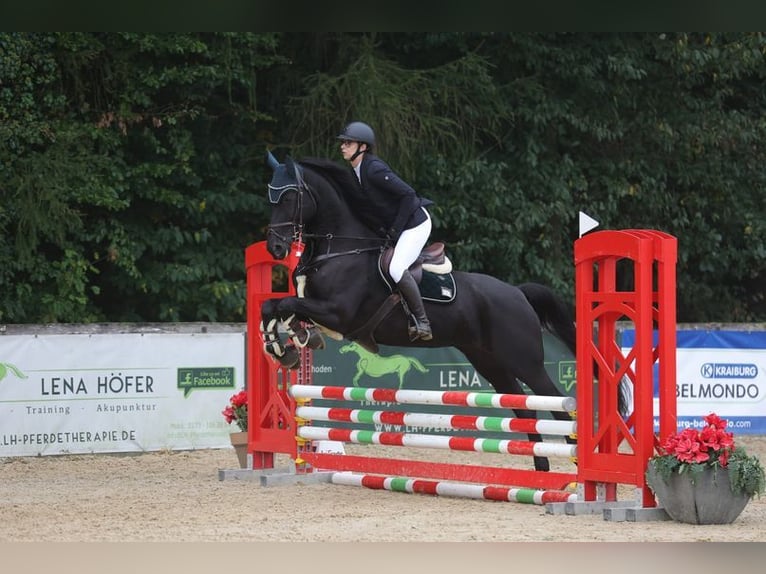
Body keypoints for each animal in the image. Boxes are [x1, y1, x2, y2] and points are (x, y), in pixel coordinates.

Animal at [260, 153, 629, 472]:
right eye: (270, 197)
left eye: (289, 198)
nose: (275, 248)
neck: (340, 249)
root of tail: (517, 293)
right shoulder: (319, 310)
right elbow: (274, 307)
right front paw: (285, 346)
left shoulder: (339, 315)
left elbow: (286, 305)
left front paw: (286, 345)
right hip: (490, 362)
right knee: (523, 408)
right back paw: (540, 470)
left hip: (525, 361)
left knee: (556, 402)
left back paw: (576, 468)